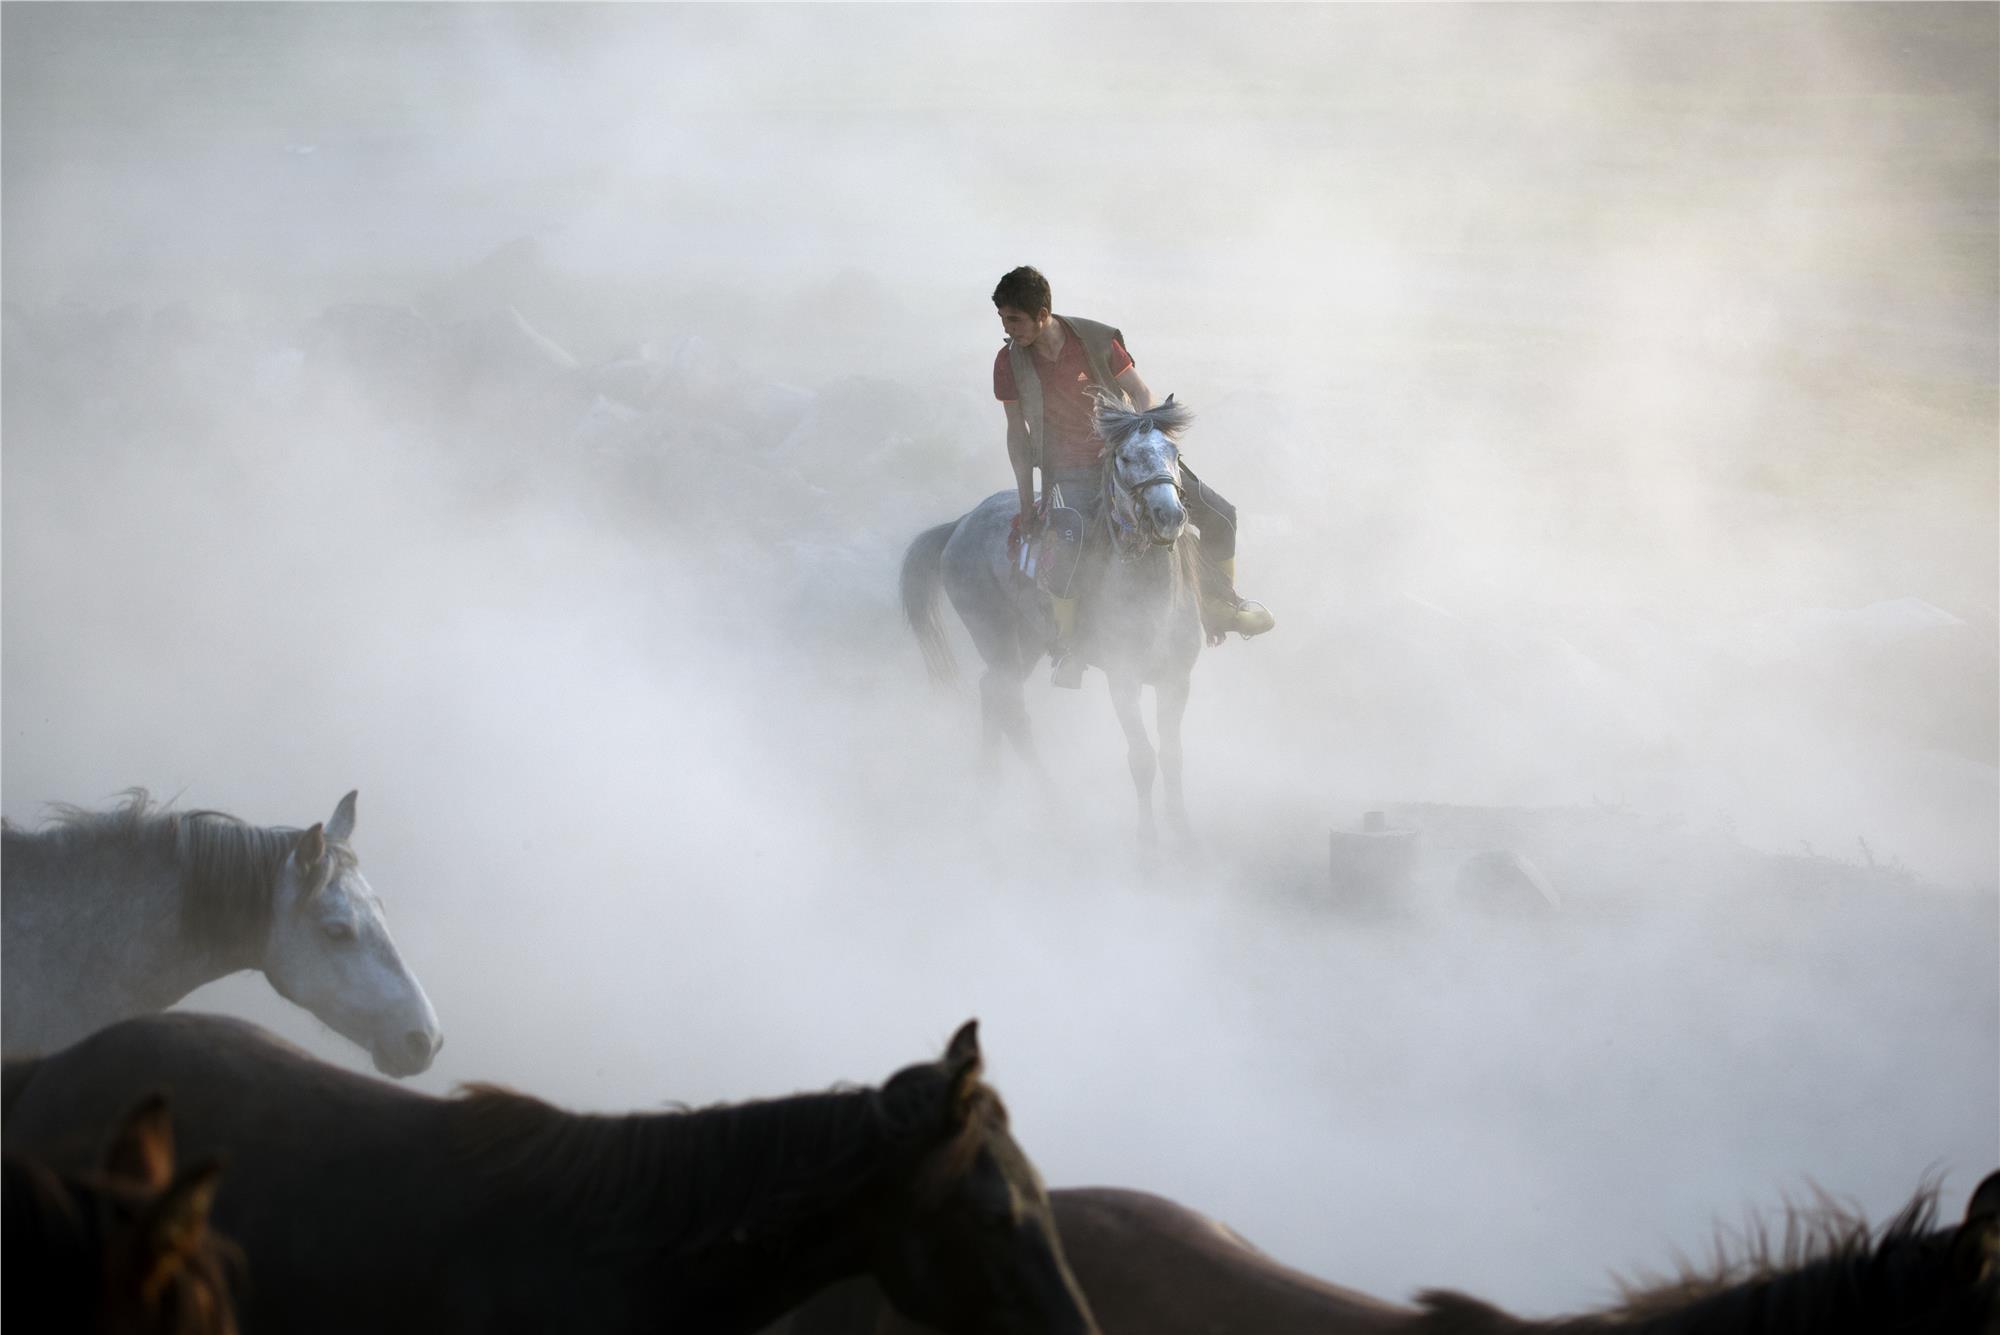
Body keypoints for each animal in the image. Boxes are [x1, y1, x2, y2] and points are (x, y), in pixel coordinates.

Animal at [908, 391, 1200, 843]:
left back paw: (988, 785)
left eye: (1175, 452)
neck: (1152, 605)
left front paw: (1184, 838)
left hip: (1026, 642)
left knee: (993, 694)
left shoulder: (1176, 681)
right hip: (995, 635)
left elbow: (1172, 756)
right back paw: (1053, 808)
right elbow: (1142, 759)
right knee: (1012, 708)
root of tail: (959, 526)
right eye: (1125, 458)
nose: (1168, 514)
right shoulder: (1123, 681)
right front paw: (1148, 846)